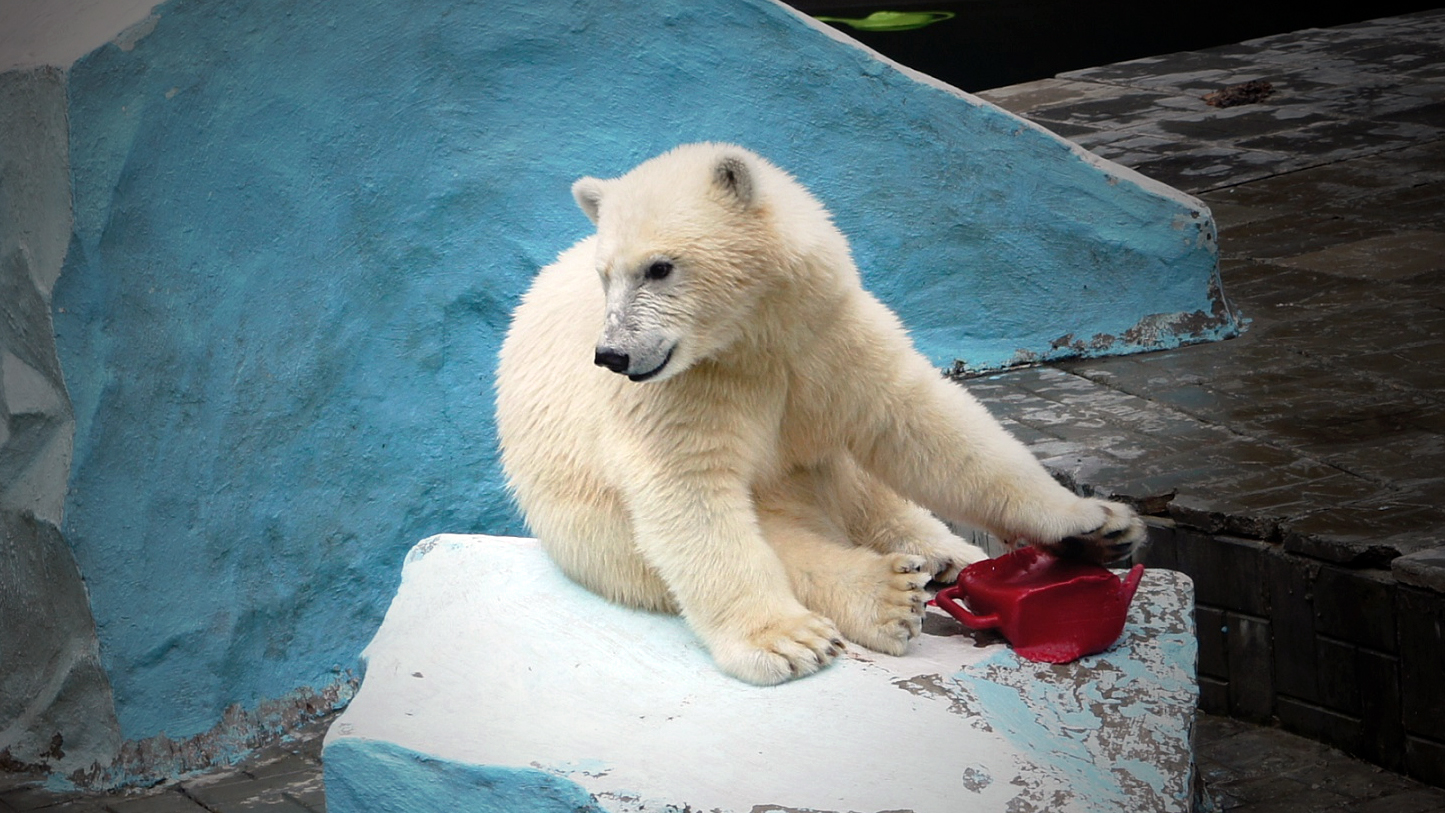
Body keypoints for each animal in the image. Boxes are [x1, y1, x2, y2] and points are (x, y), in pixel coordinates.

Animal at [502, 144, 1144, 687]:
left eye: (659, 267)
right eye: (605, 275)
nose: (611, 354)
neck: (753, 337)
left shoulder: (827, 338)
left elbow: (923, 427)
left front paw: (1096, 523)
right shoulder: (685, 390)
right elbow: (690, 494)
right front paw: (784, 643)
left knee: (869, 487)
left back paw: (952, 554)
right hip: (591, 531)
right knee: (759, 543)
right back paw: (887, 595)